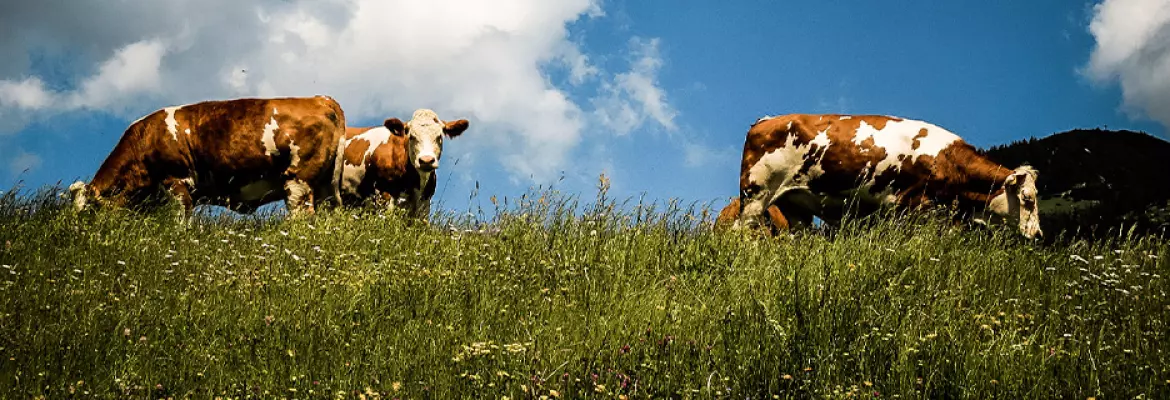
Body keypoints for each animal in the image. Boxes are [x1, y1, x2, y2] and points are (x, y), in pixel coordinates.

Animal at [69, 95, 346, 219]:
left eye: (87, 212)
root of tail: (319, 98)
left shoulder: (176, 182)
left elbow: (180, 221)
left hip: (298, 181)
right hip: (325, 186)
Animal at [734, 112, 1048, 238]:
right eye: (1028, 199)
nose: (1038, 233)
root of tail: (765, 120)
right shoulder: (911, 207)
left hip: (794, 207)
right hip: (755, 196)